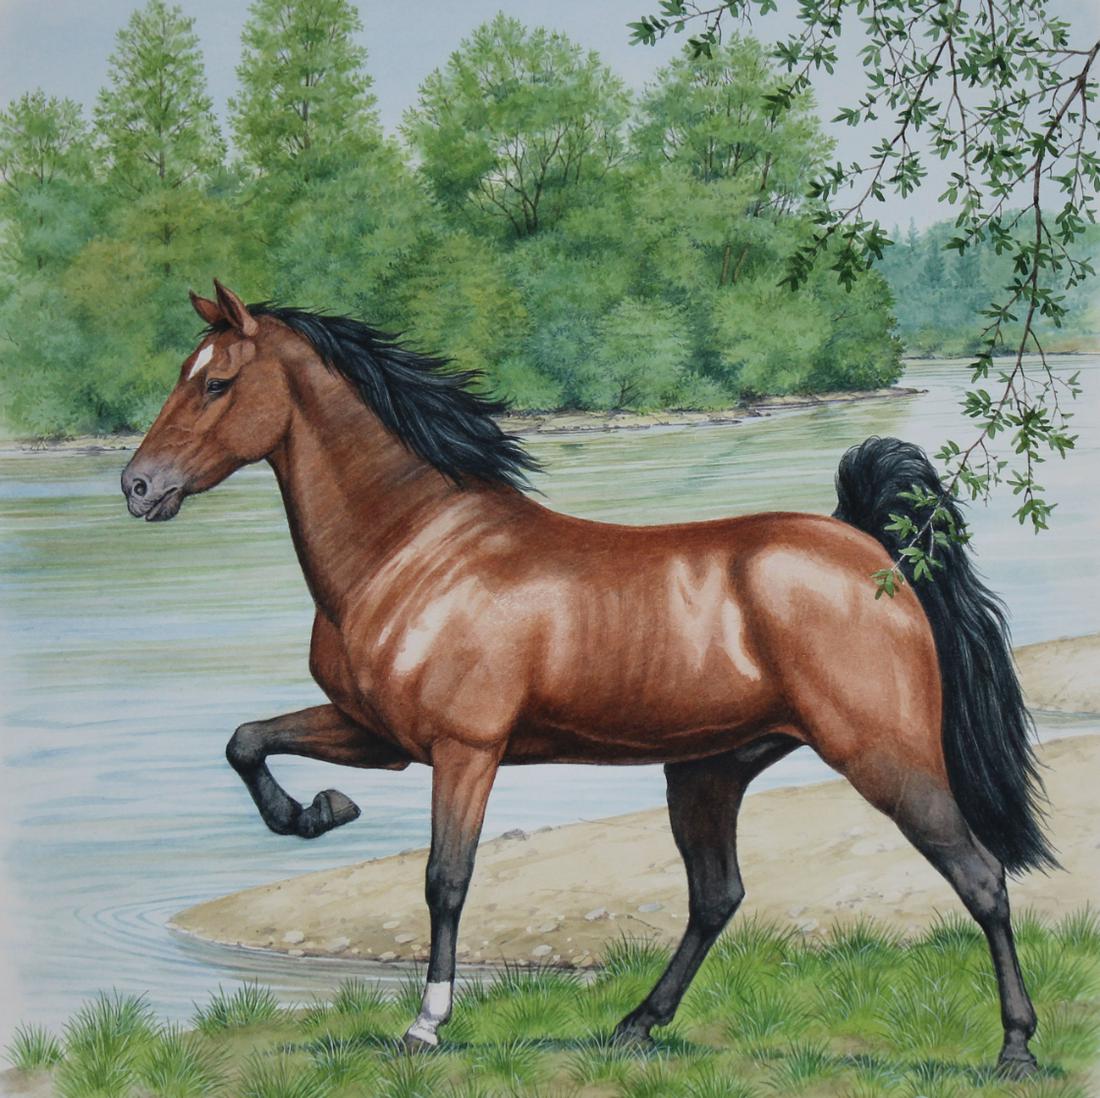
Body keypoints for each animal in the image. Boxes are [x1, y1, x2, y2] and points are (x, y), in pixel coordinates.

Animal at [121, 280, 1053, 1076]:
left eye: (217, 384)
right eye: (184, 376)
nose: (137, 486)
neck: (412, 547)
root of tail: (869, 550)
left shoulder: (464, 751)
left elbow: (445, 880)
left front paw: (425, 1025)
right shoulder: (378, 735)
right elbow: (247, 743)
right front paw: (318, 812)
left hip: (884, 758)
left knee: (981, 880)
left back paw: (1014, 1049)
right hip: (710, 769)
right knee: (717, 896)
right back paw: (636, 1025)